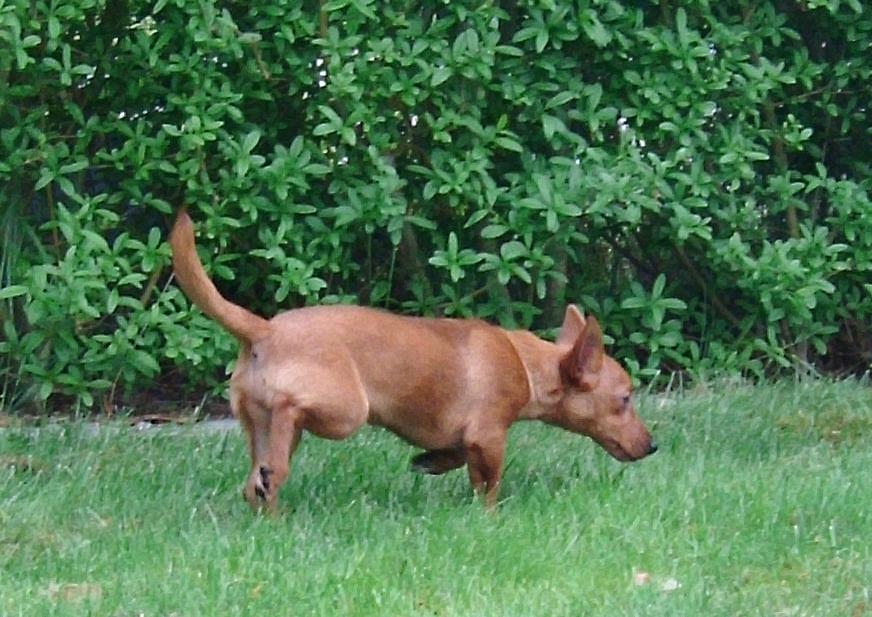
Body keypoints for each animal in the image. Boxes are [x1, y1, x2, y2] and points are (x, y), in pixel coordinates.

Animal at [170, 209, 656, 508]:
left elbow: (456, 459)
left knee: (254, 484)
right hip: (344, 411)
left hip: (258, 423)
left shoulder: (466, 439)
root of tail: (265, 329)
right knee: (289, 421)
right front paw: (489, 516)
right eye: (625, 399)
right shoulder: (489, 436)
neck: (525, 362)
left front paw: (429, 464)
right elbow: (489, 483)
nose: (653, 446)